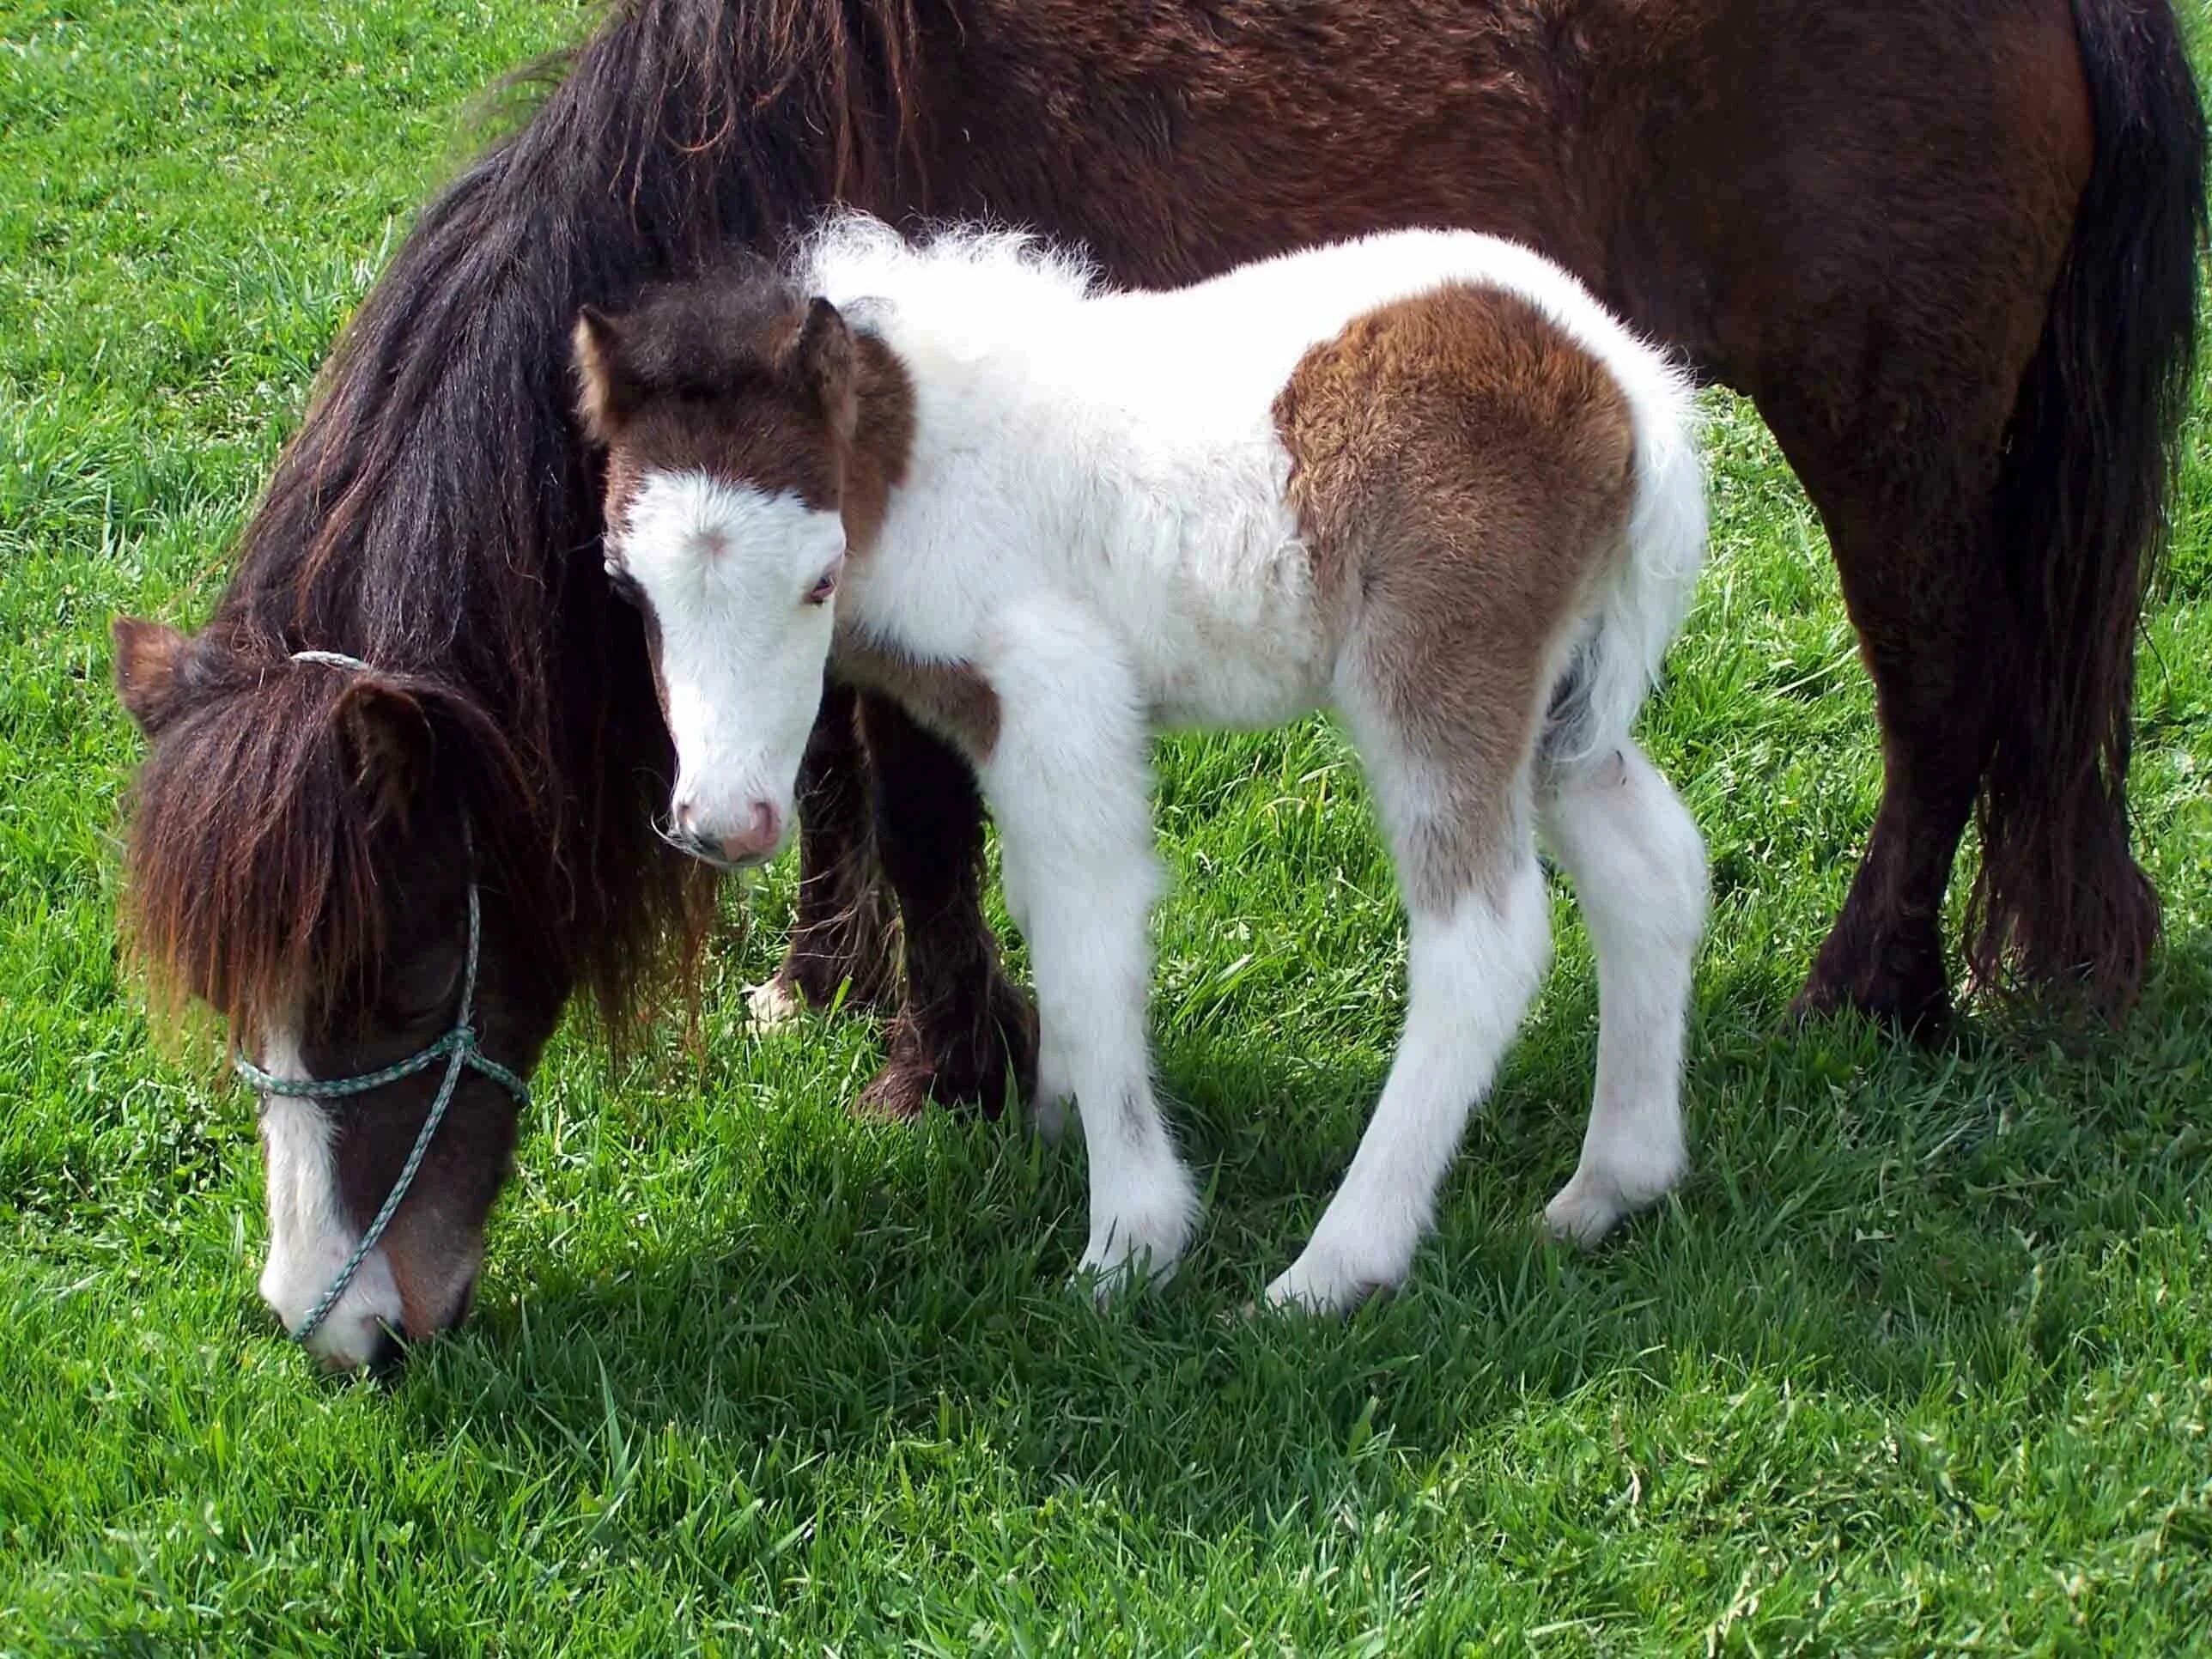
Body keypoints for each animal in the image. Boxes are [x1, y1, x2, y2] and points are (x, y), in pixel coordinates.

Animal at [570, 217, 1707, 1309]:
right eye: (624, 588)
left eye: (818, 579)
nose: (724, 825)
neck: (921, 463)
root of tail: (1625, 381)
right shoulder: (994, 720)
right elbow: (1038, 907)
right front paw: (1053, 1111)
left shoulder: (1056, 692)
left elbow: (1090, 940)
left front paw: (1126, 1244)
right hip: (1558, 697)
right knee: (1648, 867)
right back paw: (1609, 1188)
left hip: (1436, 668)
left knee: (1483, 940)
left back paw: (1330, 1271)